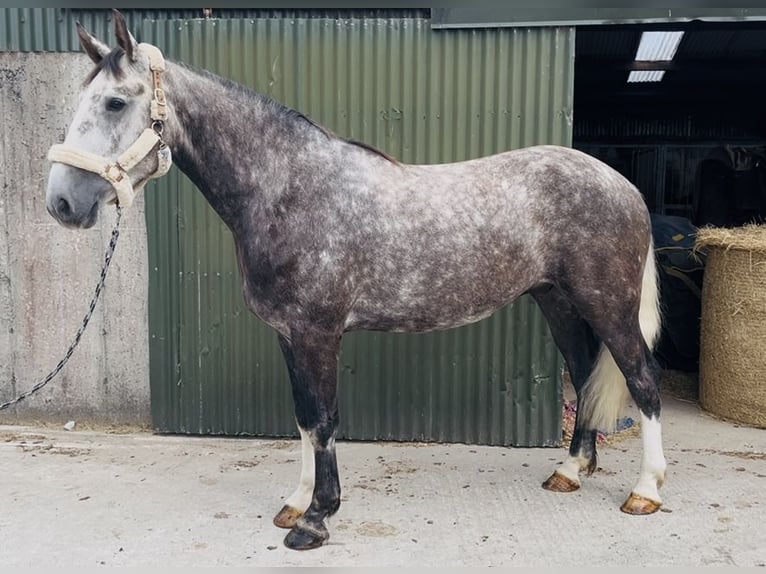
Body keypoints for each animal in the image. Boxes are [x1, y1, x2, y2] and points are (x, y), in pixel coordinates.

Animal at [45, 11, 666, 551]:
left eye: (115, 102)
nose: (61, 203)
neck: (288, 188)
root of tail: (622, 184)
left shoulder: (318, 333)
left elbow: (324, 420)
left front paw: (316, 521)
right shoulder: (289, 335)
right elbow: (303, 418)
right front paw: (296, 504)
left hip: (609, 304)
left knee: (641, 380)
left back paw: (646, 491)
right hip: (558, 301)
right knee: (584, 373)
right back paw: (571, 470)